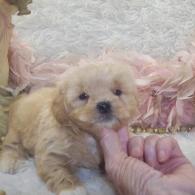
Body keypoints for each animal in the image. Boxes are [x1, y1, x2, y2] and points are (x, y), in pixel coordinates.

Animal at [0, 63, 137, 194]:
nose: (104, 105)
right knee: (11, 145)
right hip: (16, 129)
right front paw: (72, 189)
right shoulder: (51, 150)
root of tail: (22, 98)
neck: (88, 134)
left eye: (118, 92)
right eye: (83, 96)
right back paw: (8, 162)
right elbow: (57, 170)